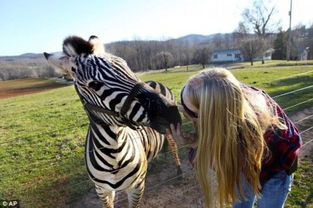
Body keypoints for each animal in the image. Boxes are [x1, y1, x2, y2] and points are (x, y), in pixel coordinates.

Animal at [43, 35, 180, 207]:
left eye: (127, 66)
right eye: (94, 84)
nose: (172, 113)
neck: (114, 153)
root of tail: (153, 81)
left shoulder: (137, 187)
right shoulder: (102, 191)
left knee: (174, 146)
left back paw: (179, 171)